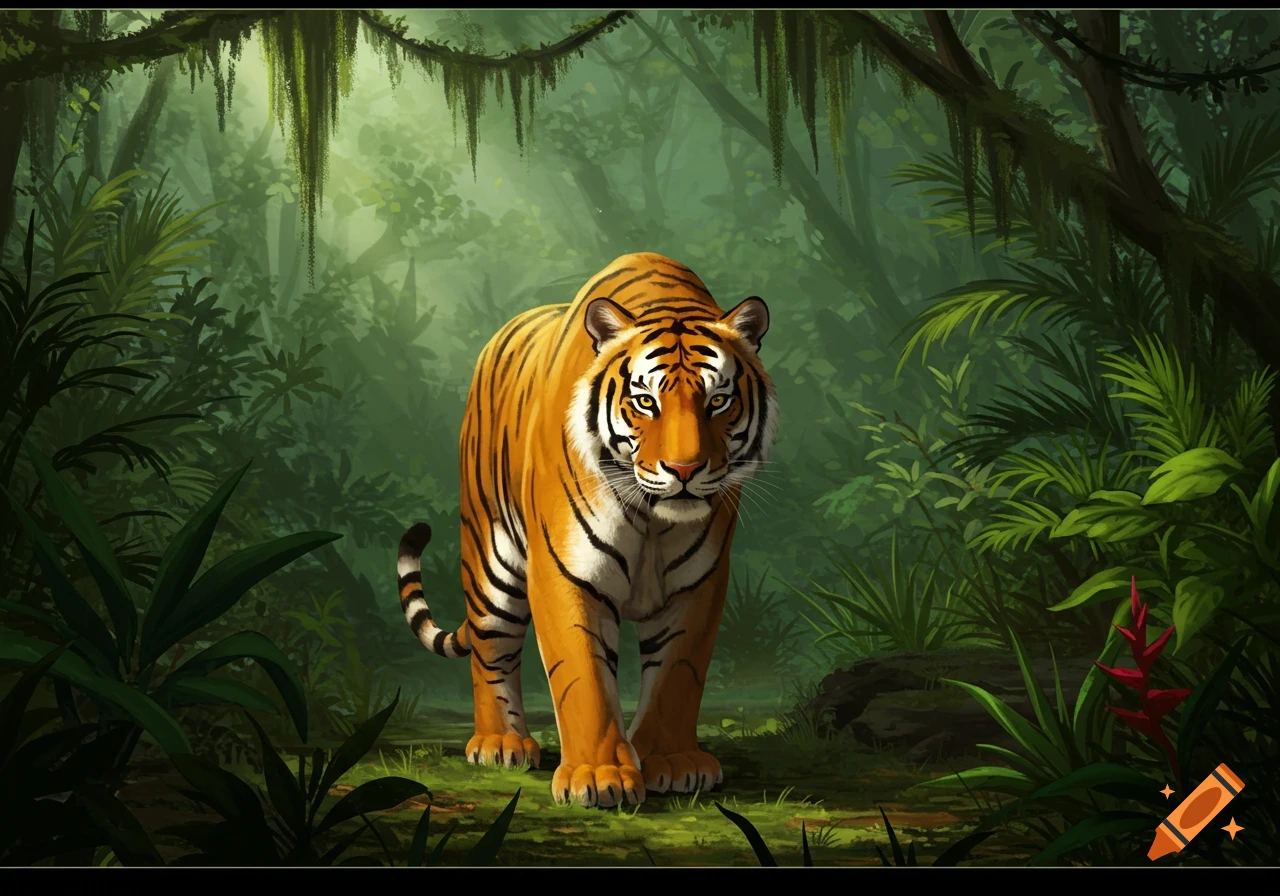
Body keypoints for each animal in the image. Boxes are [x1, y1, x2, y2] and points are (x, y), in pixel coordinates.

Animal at [395, 252, 777, 809]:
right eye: (646, 402)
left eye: (717, 401)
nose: (684, 469)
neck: (653, 518)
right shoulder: (565, 570)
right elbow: (583, 676)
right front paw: (598, 775)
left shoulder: (698, 584)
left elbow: (678, 675)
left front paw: (672, 762)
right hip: (491, 558)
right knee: (491, 650)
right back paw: (500, 743)